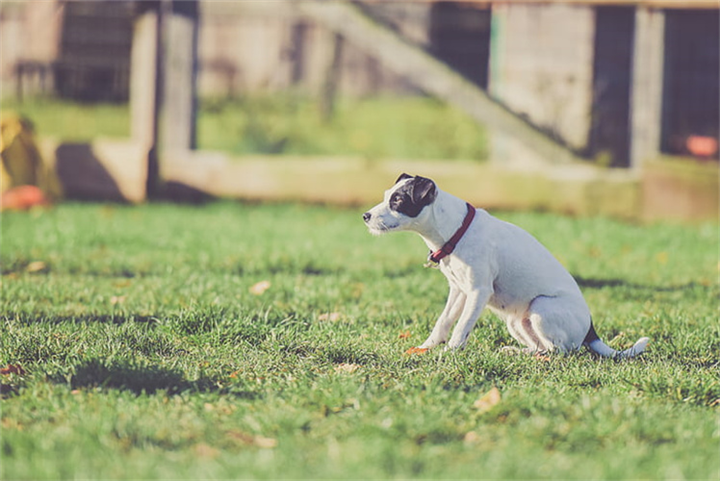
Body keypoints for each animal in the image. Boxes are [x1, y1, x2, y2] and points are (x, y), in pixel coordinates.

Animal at [362, 172, 648, 356]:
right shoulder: (459, 290)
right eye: (386, 196)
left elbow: (462, 327)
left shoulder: (477, 292)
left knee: (560, 351)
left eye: (398, 201)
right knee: (542, 347)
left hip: (540, 308)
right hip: (517, 321)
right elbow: (443, 321)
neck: (456, 230)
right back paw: (516, 351)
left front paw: (449, 353)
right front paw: (426, 347)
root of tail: (590, 330)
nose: (365, 216)